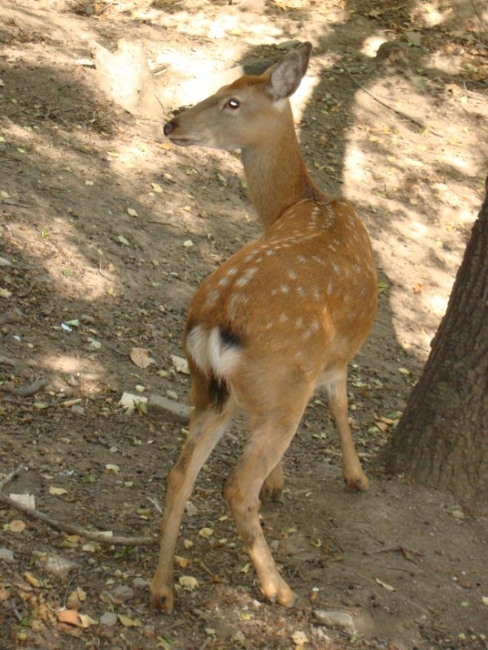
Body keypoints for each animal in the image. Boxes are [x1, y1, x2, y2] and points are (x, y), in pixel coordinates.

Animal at [152, 40, 378, 608]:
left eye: (232, 100)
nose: (170, 122)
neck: (302, 201)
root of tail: (213, 323)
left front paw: (281, 483)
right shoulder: (335, 357)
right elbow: (341, 406)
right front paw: (356, 477)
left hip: (207, 387)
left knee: (179, 473)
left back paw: (161, 590)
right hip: (280, 388)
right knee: (235, 486)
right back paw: (278, 587)